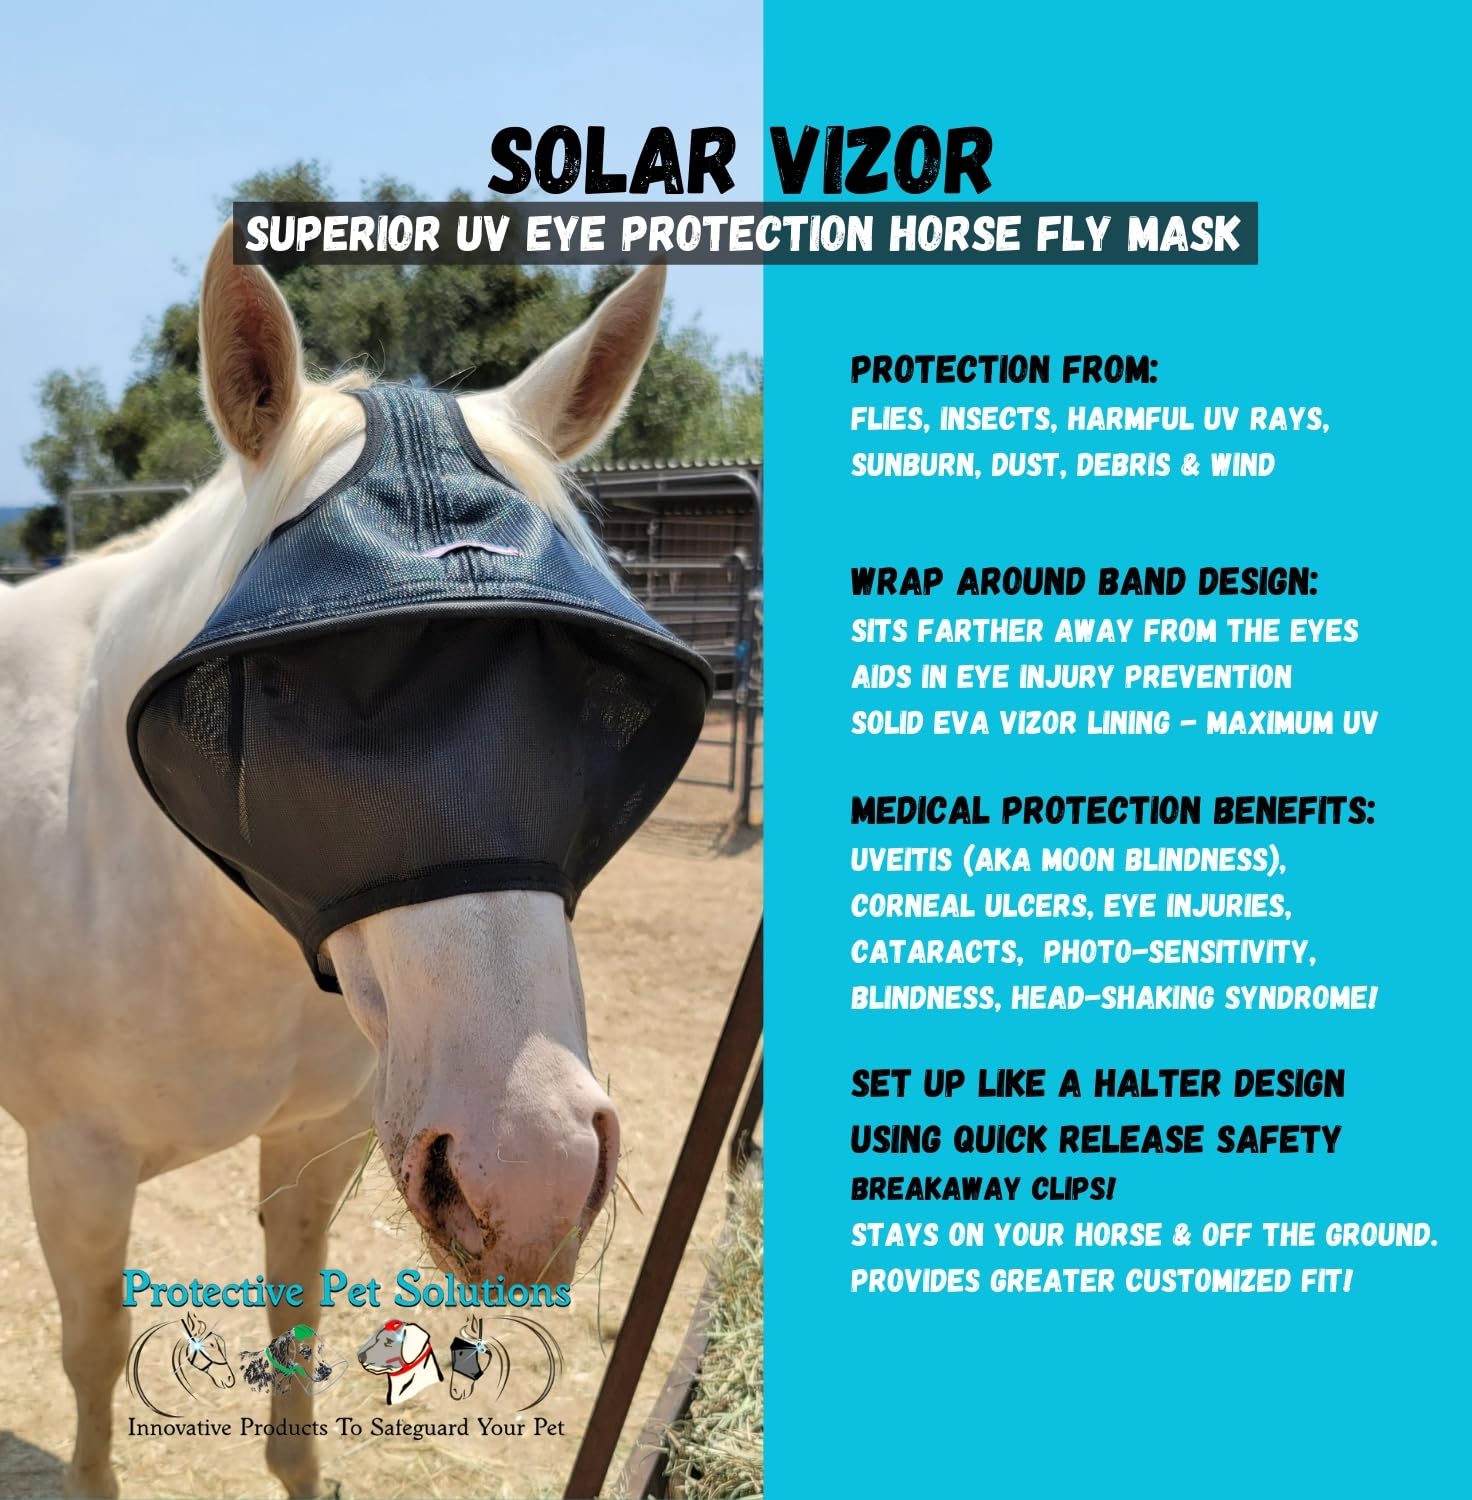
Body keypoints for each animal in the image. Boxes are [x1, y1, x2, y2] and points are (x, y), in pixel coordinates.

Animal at [0, 224, 670, 1498]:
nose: (534, 1176)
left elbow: (296, 1340)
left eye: (596, 697)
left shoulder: (318, 1143)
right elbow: (96, 1359)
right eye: (290, 691)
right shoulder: (77, 1169)